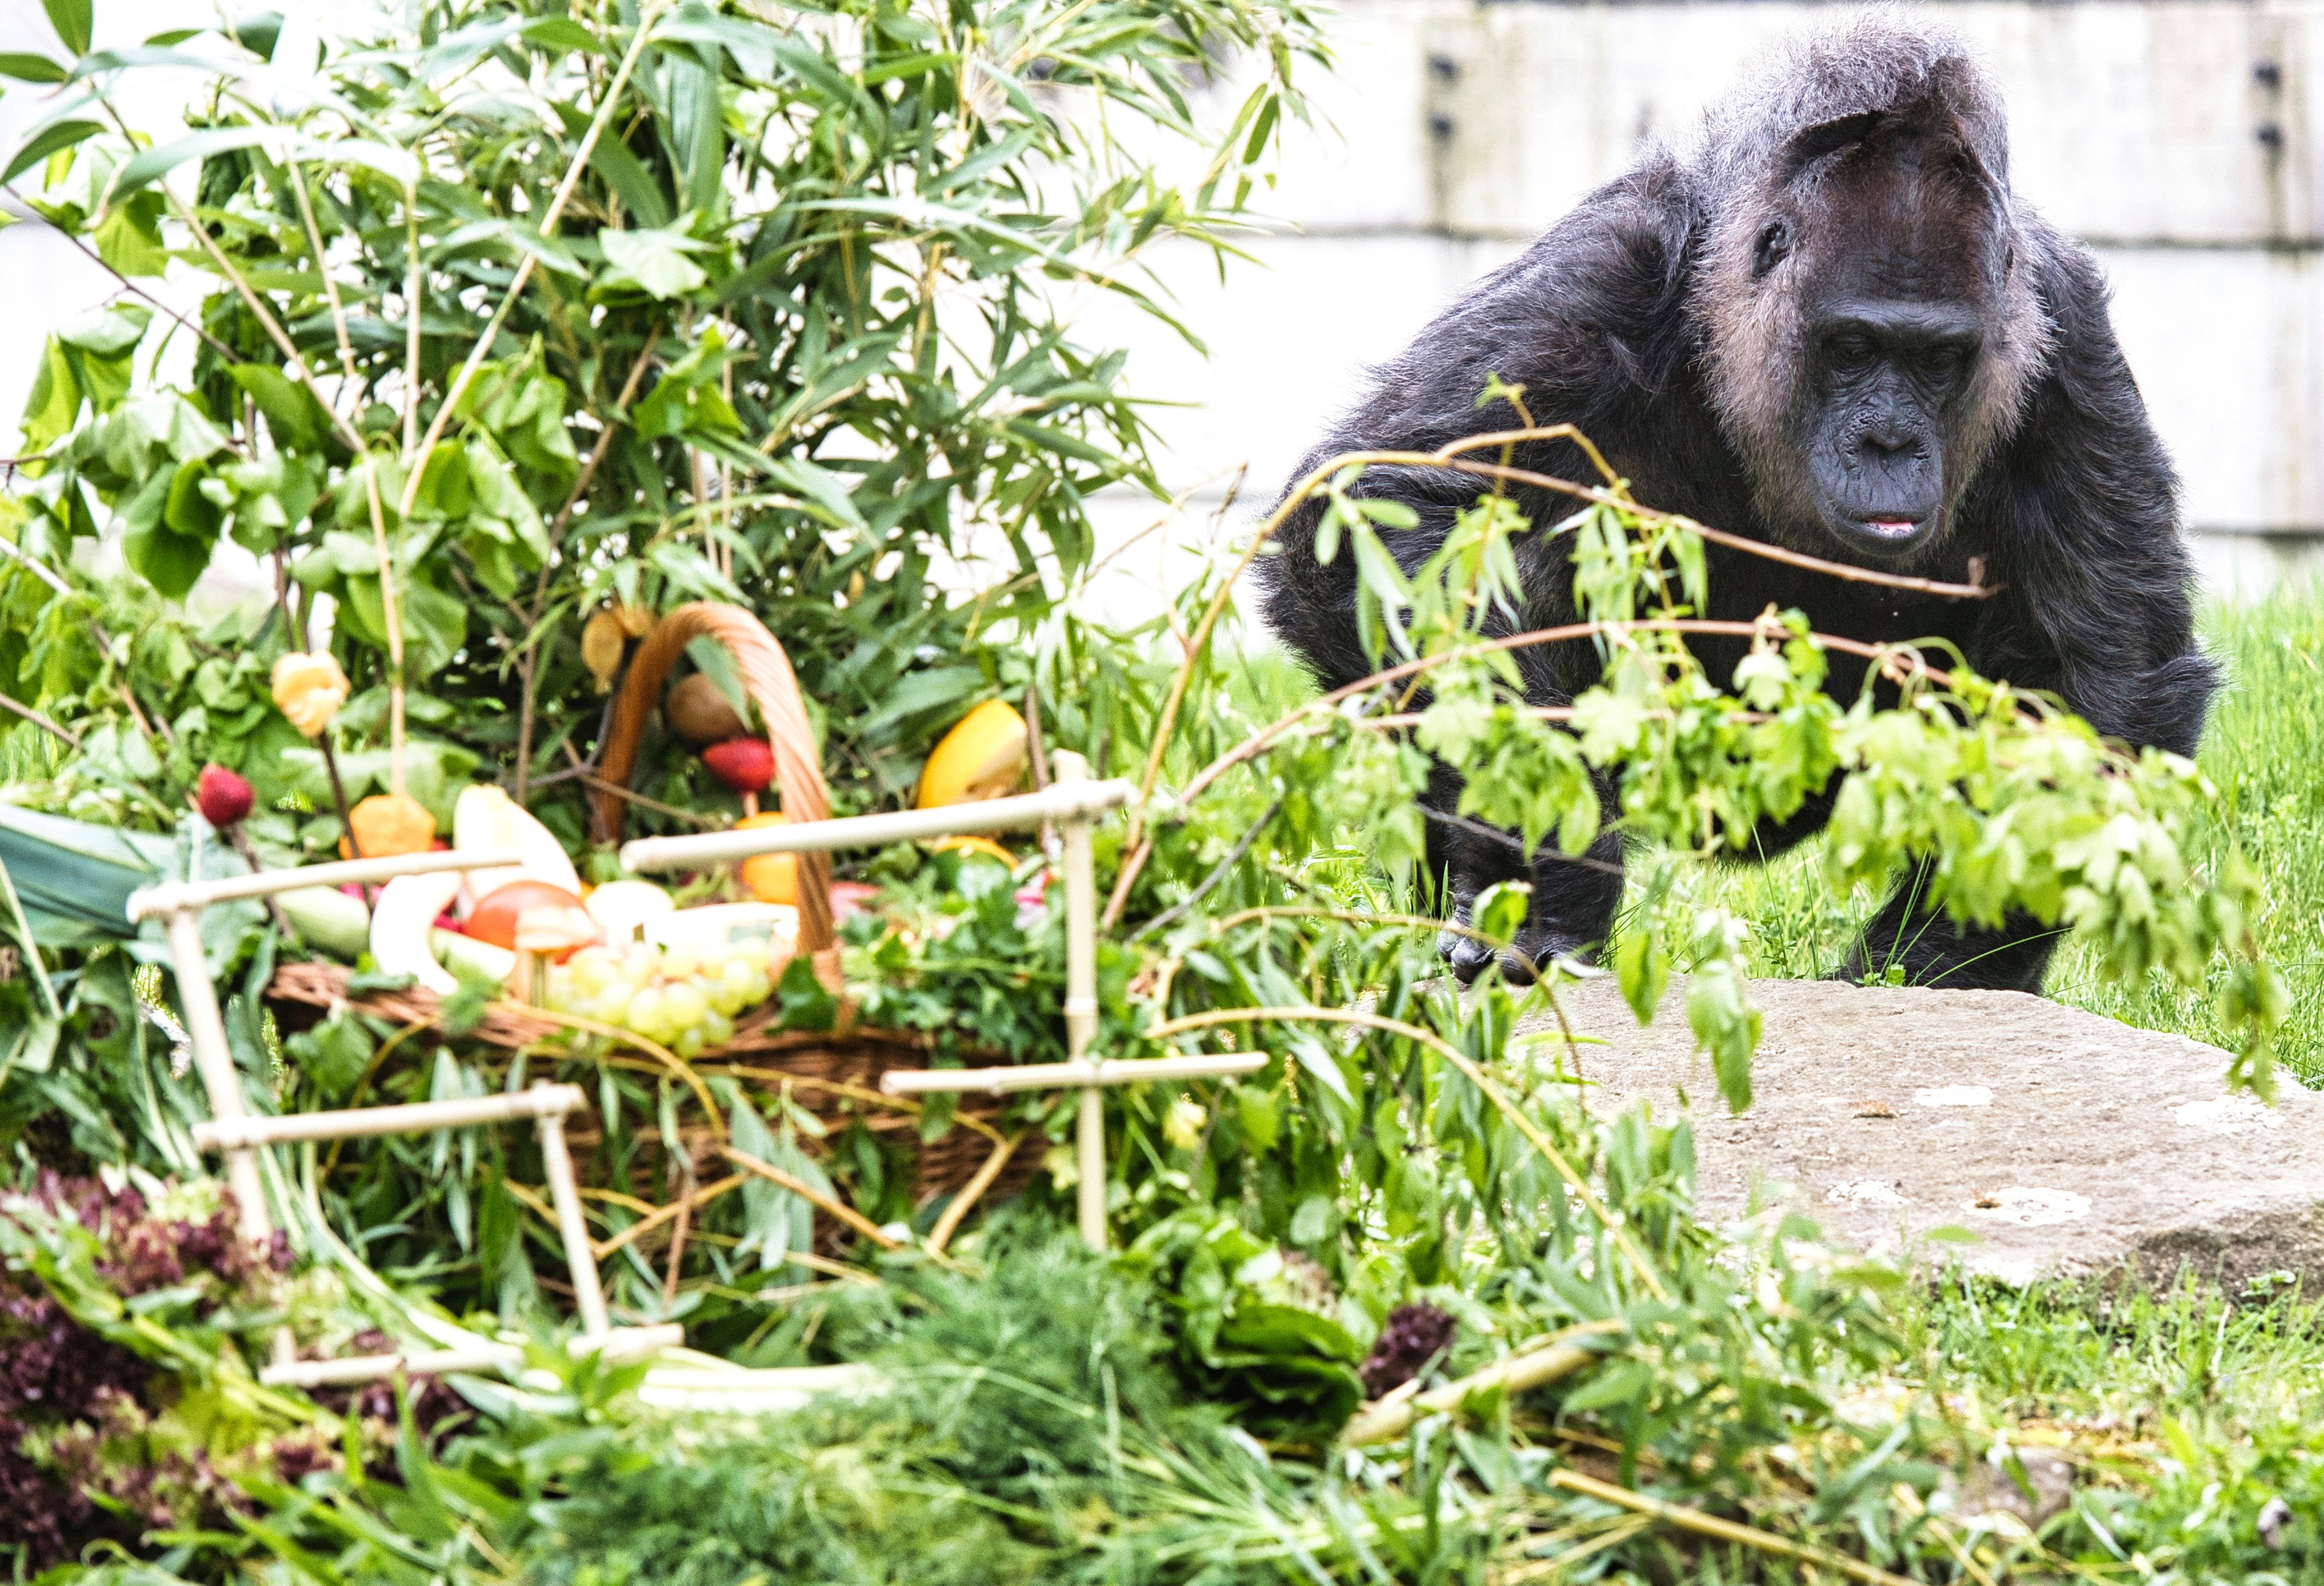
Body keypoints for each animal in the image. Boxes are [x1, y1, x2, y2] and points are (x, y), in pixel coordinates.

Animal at [1254, 14, 2218, 994]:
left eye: (1939, 359)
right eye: (1852, 348)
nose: (1888, 445)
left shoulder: (2067, 335)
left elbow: (2101, 669)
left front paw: (1944, 962)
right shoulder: (1600, 271)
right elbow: (1393, 506)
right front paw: (1545, 863)